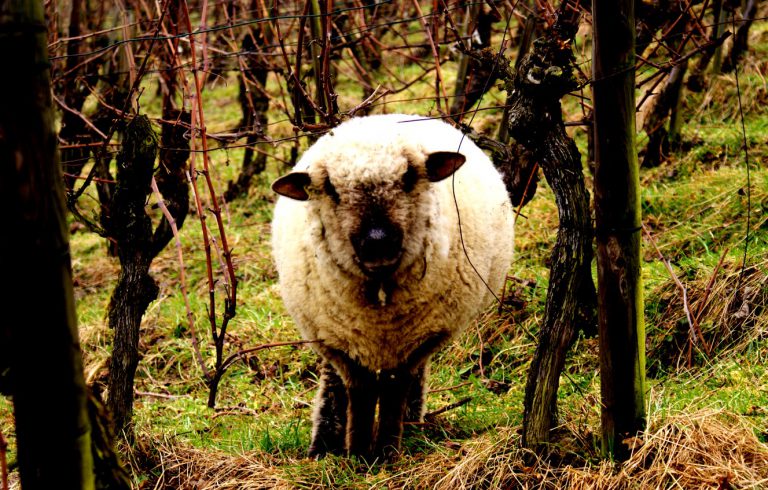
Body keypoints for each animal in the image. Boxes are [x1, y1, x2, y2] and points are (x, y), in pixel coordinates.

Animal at [271, 114, 514, 460]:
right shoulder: (339, 344)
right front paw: (358, 452)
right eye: (330, 188)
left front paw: (386, 451)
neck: (380, 310)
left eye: (410, 176)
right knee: (333, 382)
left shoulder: (416, 341)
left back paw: (411, 426)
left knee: (411, 378)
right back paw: (324, 442)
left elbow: (394, 388)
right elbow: (359, 391)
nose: (378, 243)